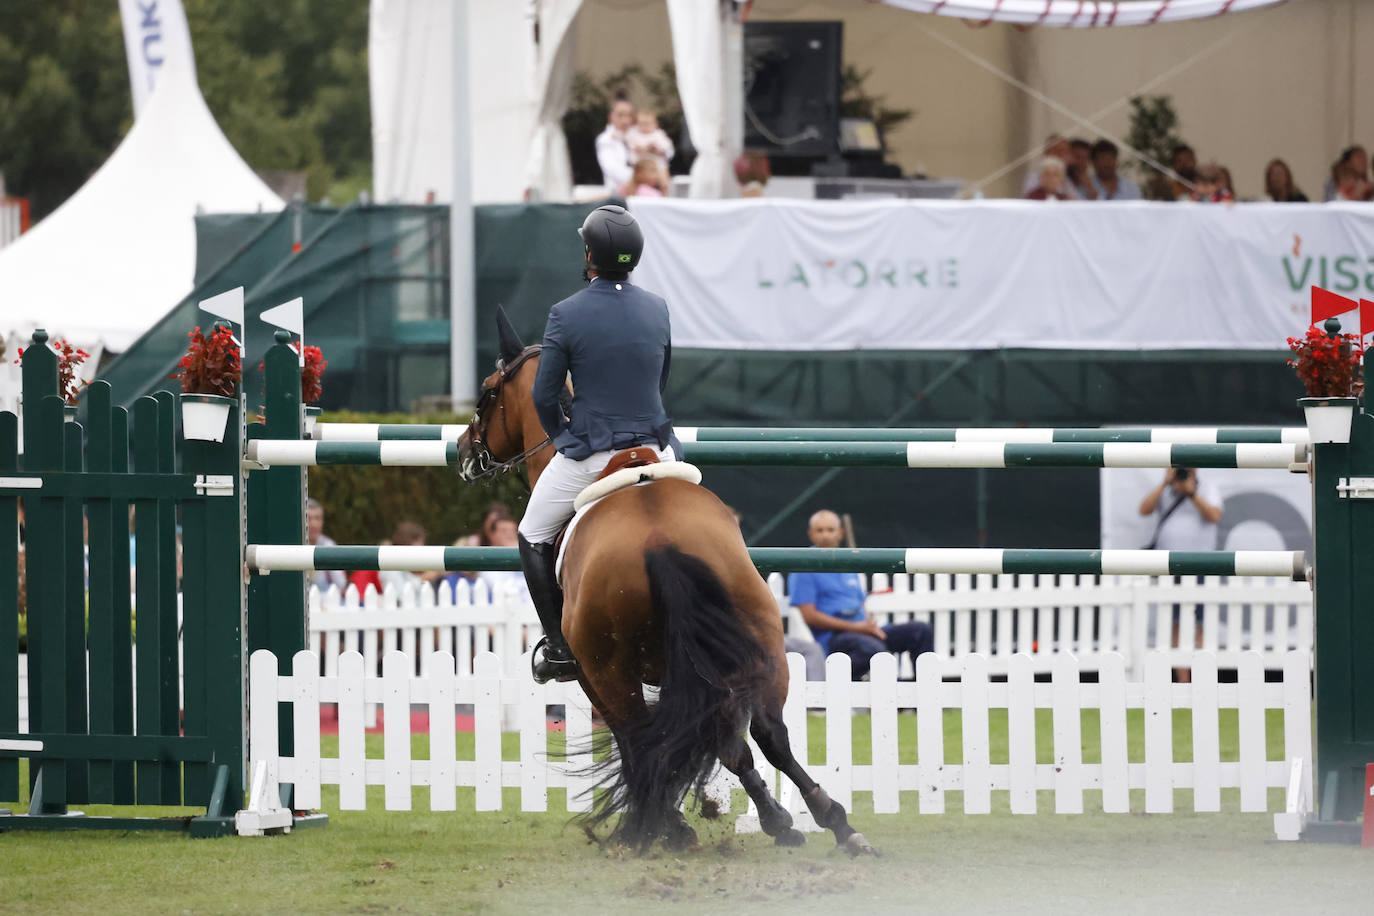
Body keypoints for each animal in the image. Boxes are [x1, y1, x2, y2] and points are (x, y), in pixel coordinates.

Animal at [456, 315, 873, 862]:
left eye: (487, 392)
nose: (463, 453)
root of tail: (657, 540)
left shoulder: (597, 677)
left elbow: (644, 742)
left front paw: (668, 824)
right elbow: (729, 745)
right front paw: (772, 819)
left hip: (610, 671)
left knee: (646, 736)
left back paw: (657, 827)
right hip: (760, 644)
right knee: (769, 733)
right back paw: (833, 822)